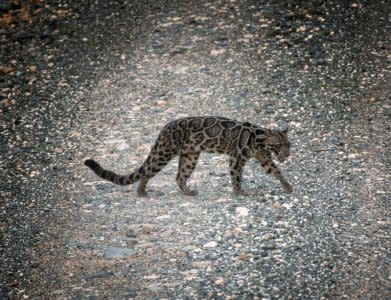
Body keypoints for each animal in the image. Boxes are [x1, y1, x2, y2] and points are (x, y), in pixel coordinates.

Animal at [86, 116, 294, 197]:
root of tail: (164, 128)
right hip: (164, 153)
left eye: (288, 144)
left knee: (179, 176)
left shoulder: (264, 158)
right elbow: (236, 176)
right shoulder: (236, 157)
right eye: (278, 145)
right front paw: (238, 191)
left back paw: (188, 191)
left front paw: (287, 186)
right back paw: (141, 192)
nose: (287, 154)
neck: (260, 141)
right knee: (147, 172)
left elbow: (276, 171)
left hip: (190, 156)